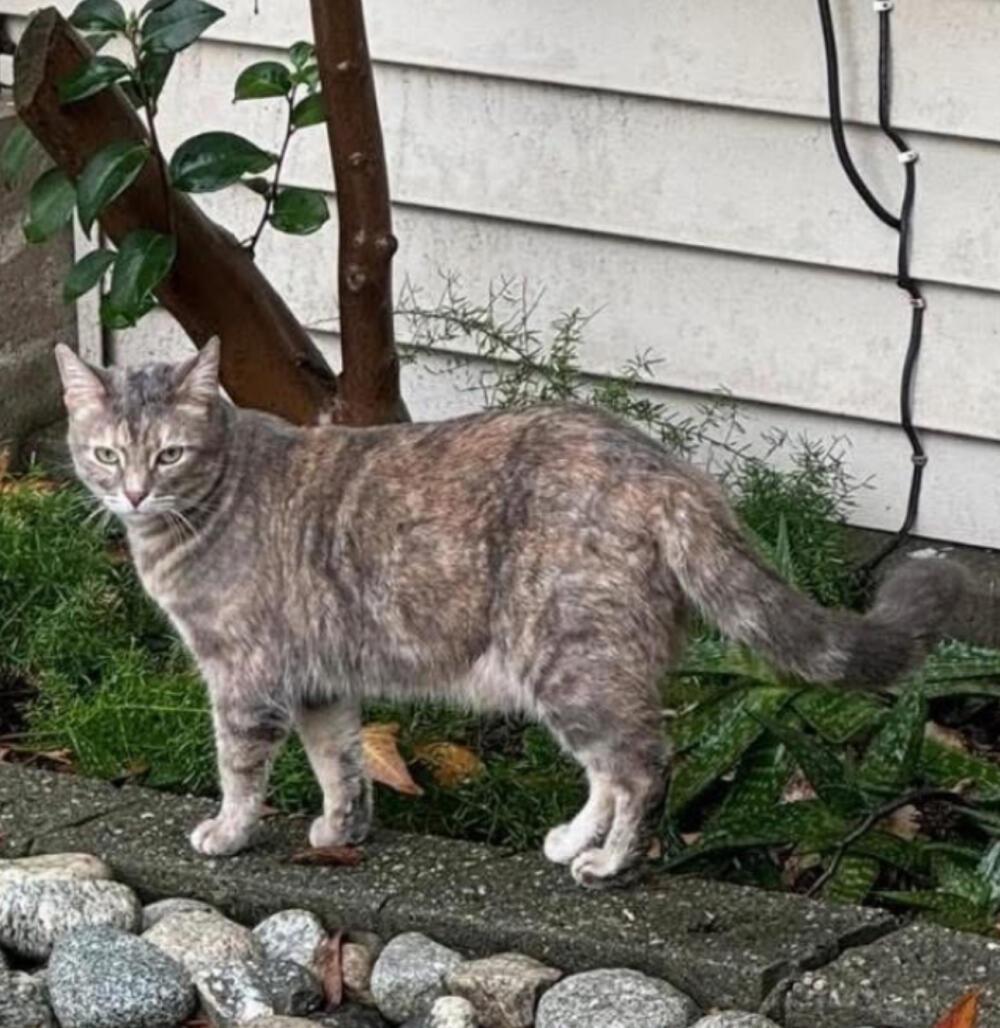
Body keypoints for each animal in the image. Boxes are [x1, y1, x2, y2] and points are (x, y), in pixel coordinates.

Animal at [54, 341, 966, 888]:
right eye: (105, 452)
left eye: (169, 454)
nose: (130, 493)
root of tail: (670, 471)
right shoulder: (318, 679)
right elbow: (339, 759)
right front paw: (343, 826)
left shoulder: (244, 676)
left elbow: (240, 768)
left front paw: (228, 831)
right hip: (581, 668)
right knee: (609, 769)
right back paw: (574, 841)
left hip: (570, 660)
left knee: (642, 766)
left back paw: (608, 864)